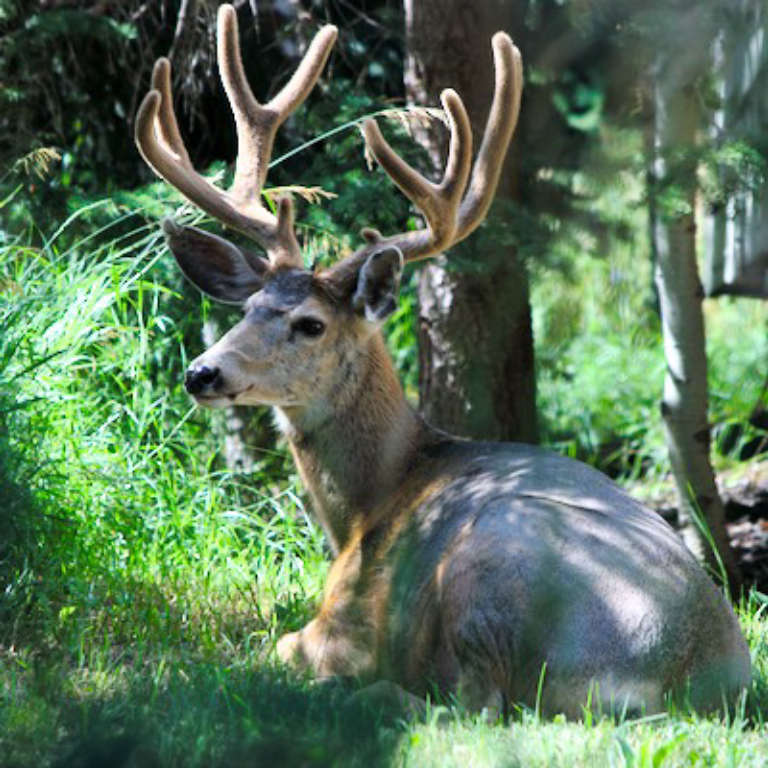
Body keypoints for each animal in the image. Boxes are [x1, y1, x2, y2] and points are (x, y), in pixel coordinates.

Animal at [134, 4, 752, 720]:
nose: (202, 372)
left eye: (310, 324)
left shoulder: (340, 617)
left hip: (491, 559)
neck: (371, 500)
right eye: (249, 308)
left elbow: (279, 643)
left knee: (472, 703)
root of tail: (679, 682)